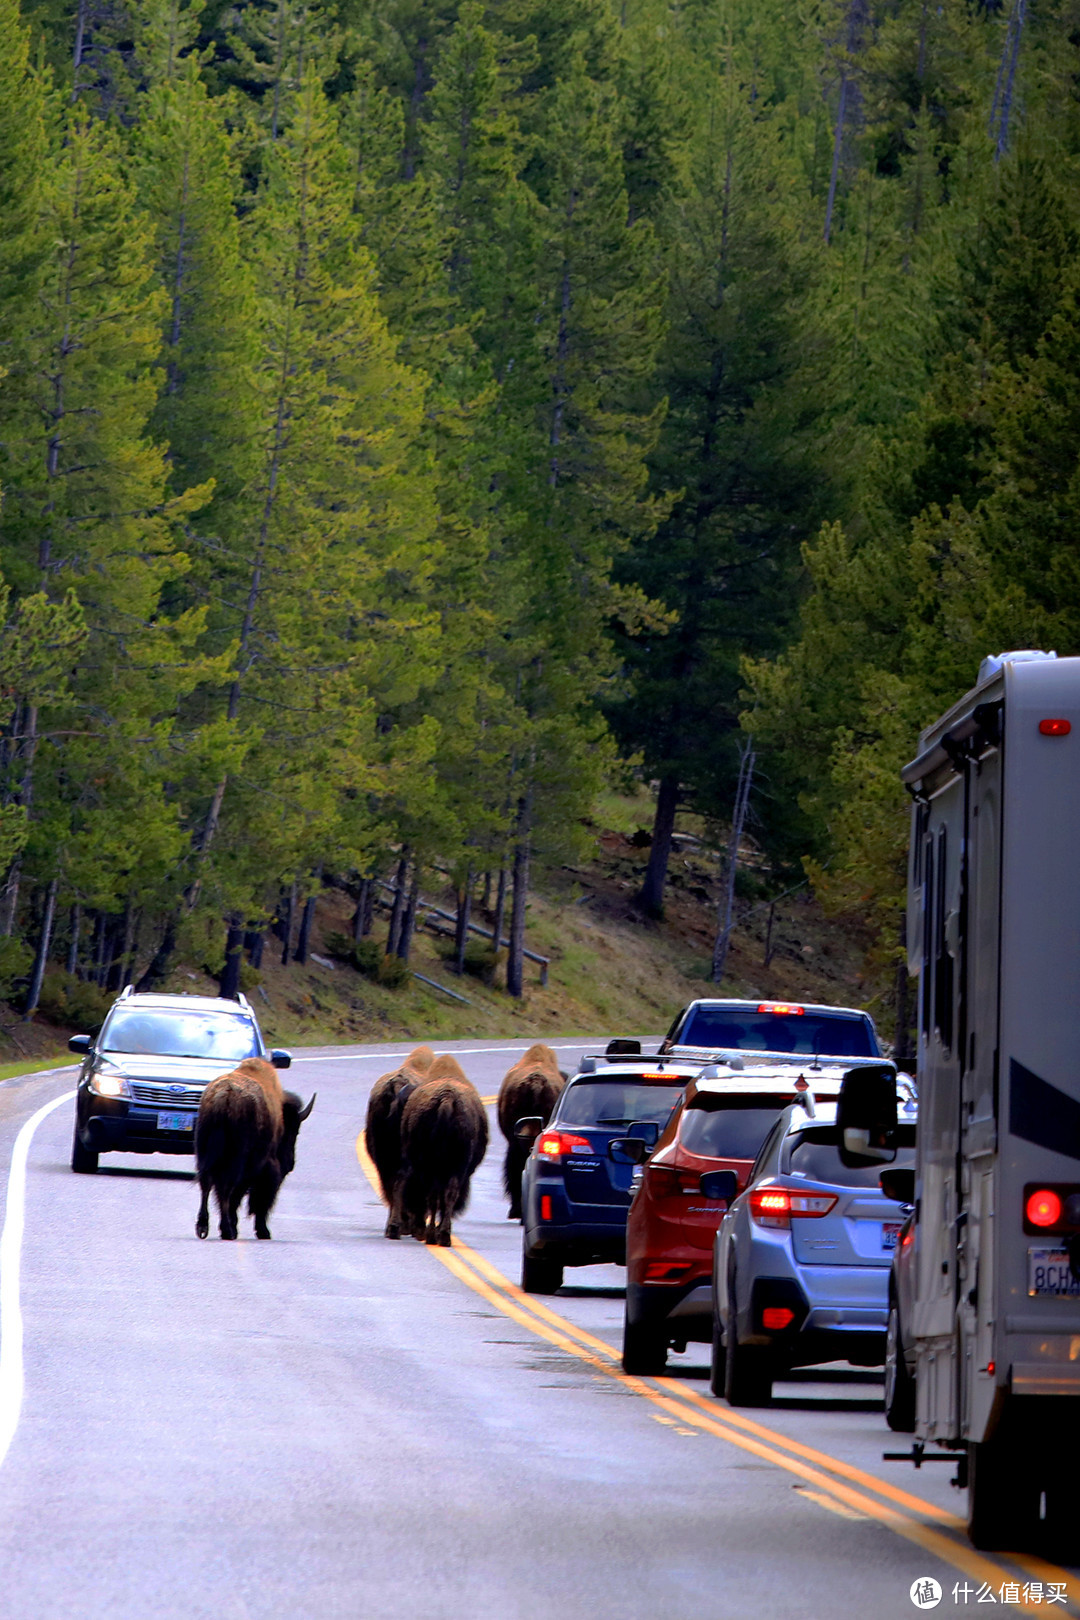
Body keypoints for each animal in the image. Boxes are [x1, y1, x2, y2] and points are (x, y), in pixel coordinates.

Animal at [194, 1049, 314, 1237]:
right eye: (293, 1131)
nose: (290, 1163)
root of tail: (224, 1097)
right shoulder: (264, 1168)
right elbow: (257, 1198)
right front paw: (263, 1231)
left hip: (205, 1152)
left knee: (207, 1183)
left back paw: (203, 1228)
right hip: (236, 1159)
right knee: (226, 1187)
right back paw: (227, 1230)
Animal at [393, 1056, 488, 1244]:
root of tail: (447, 1100)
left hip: (426, 1162)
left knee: (432, 1191)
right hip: (444, 1166)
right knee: (441, 1194)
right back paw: (438, 1235)